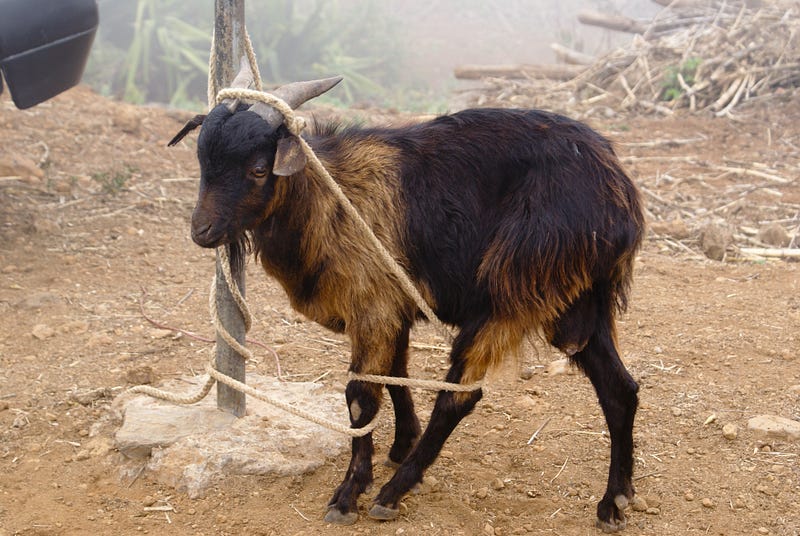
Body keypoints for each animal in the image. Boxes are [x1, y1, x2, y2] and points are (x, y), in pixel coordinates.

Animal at [169, 63, 644, 532]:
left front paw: (350, 493)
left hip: (512, 288)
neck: (329, 199)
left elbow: (361, 395)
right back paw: (614, 501)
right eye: (202, 160)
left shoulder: (373, 305)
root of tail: (620, 193)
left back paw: (392, 493)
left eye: (258, 169)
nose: (202, 232)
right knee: (619, 389)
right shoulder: (393, 306)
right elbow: (395, 374)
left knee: (459, 396)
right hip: (575, 303)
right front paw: (400, 444)